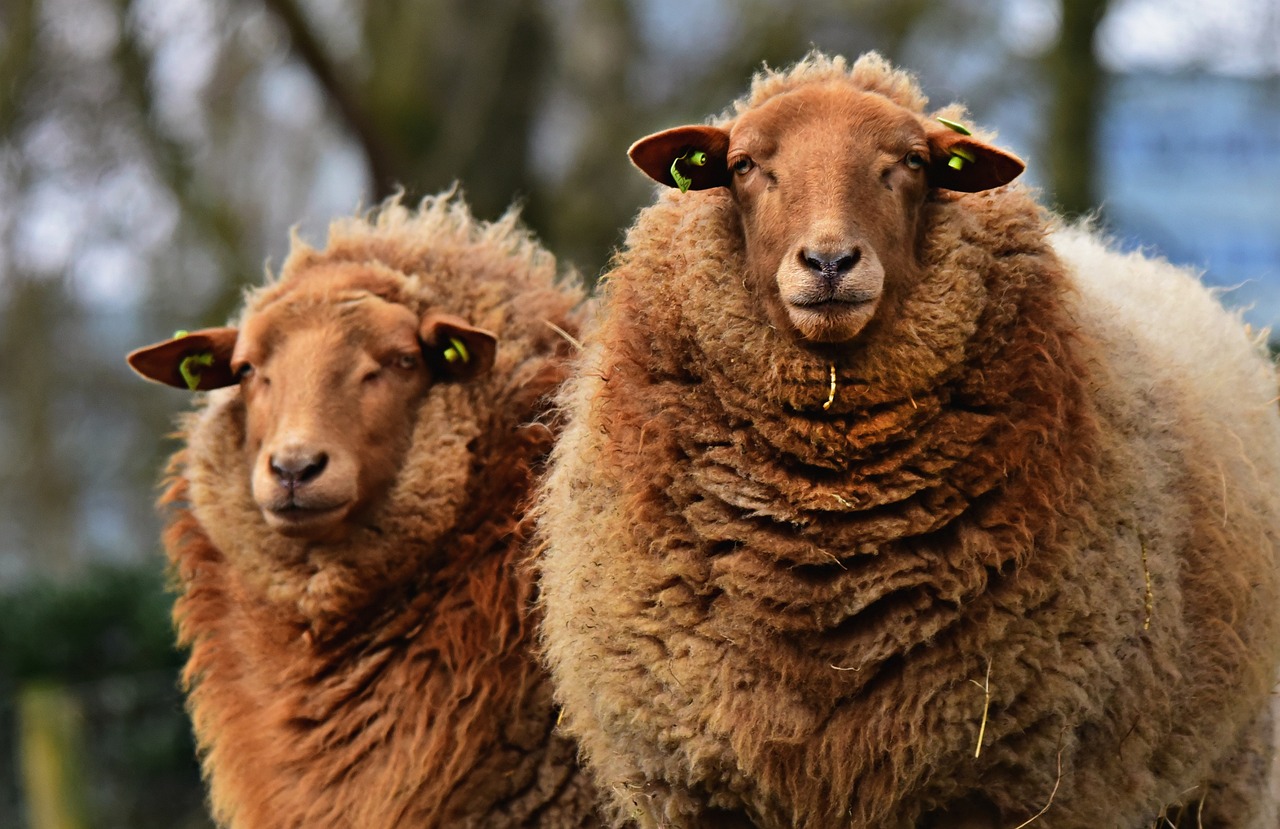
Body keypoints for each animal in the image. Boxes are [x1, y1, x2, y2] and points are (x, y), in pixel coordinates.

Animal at [532, 51, 1280, 829]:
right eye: (743, 164)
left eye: (913, 162)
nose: (830, 263)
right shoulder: (704, 789)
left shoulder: (987, 784)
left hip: (1223, 778)